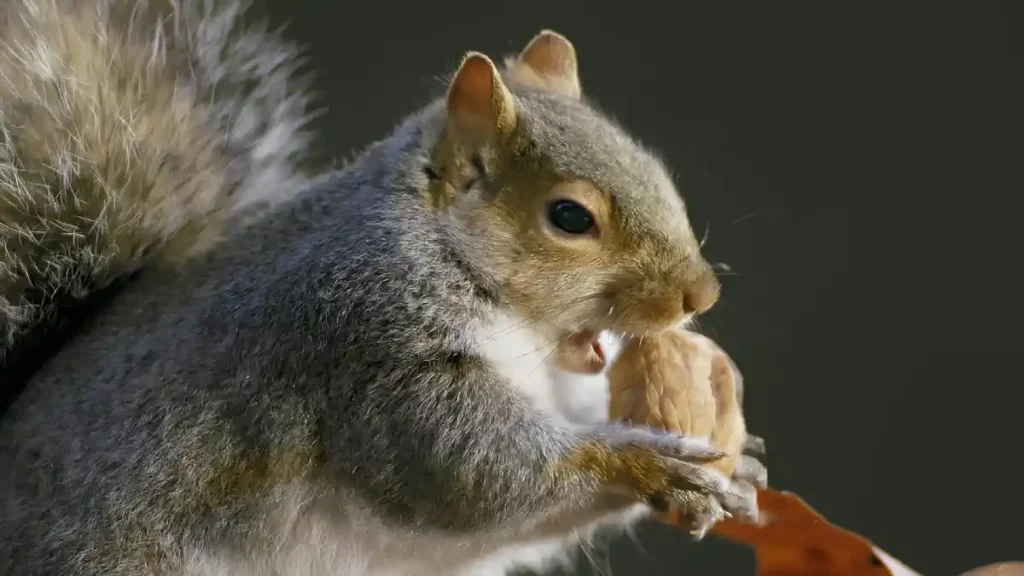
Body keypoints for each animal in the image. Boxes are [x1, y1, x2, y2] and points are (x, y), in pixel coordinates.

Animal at [0, 1, 765, 575]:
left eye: (653, 166)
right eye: (570, 217)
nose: (701, 297)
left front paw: (736, 465)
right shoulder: (369, 347)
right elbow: (466, 470)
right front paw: (645, 462)